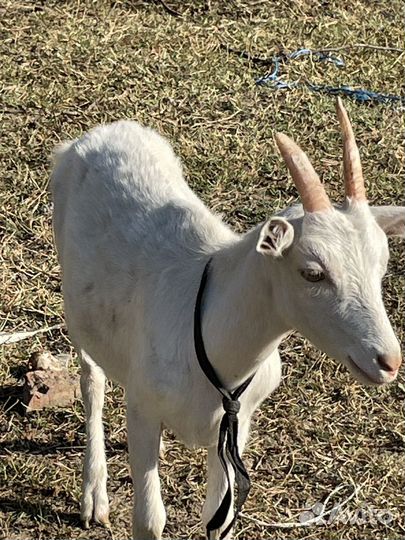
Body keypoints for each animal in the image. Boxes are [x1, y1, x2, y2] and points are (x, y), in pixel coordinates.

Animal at [52, 98, 402, 540]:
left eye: (383, 263)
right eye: (312, 272)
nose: (388, 361)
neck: (207, 330)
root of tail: (102, 133)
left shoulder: (237, 424)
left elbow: (218, 519)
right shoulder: (145, 408)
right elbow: (149, 520)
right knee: (91, 377)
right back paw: (94, 495)